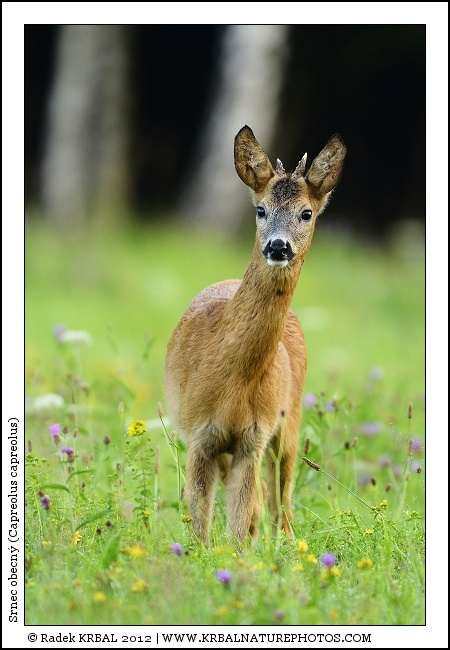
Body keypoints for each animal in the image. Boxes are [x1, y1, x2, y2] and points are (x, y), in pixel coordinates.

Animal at [164, 125, 346, 546]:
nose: (278, 246)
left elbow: (239, 524)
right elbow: (200, 519)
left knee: (280, 500)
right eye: (260, 210)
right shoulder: (199, 434)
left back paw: (289, 546)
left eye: (306, 213)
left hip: (289, 423)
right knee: (263, 500)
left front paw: (238, 559)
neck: (232, 385)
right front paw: (197, 553)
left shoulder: (254, 437)